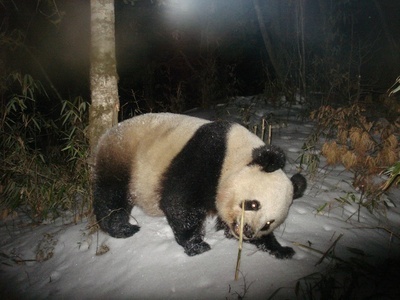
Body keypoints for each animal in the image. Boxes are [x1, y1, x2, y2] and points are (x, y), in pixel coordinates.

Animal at [93, 112, 306, 258]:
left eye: (269, 223)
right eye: (253, 204)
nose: (247, 231)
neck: (236, 156)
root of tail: (107, 134)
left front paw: (281, 249)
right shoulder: (206, 156)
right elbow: (179, 202)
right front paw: (197, 245)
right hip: (124, 159)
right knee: (111, 196)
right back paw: (122, 228)